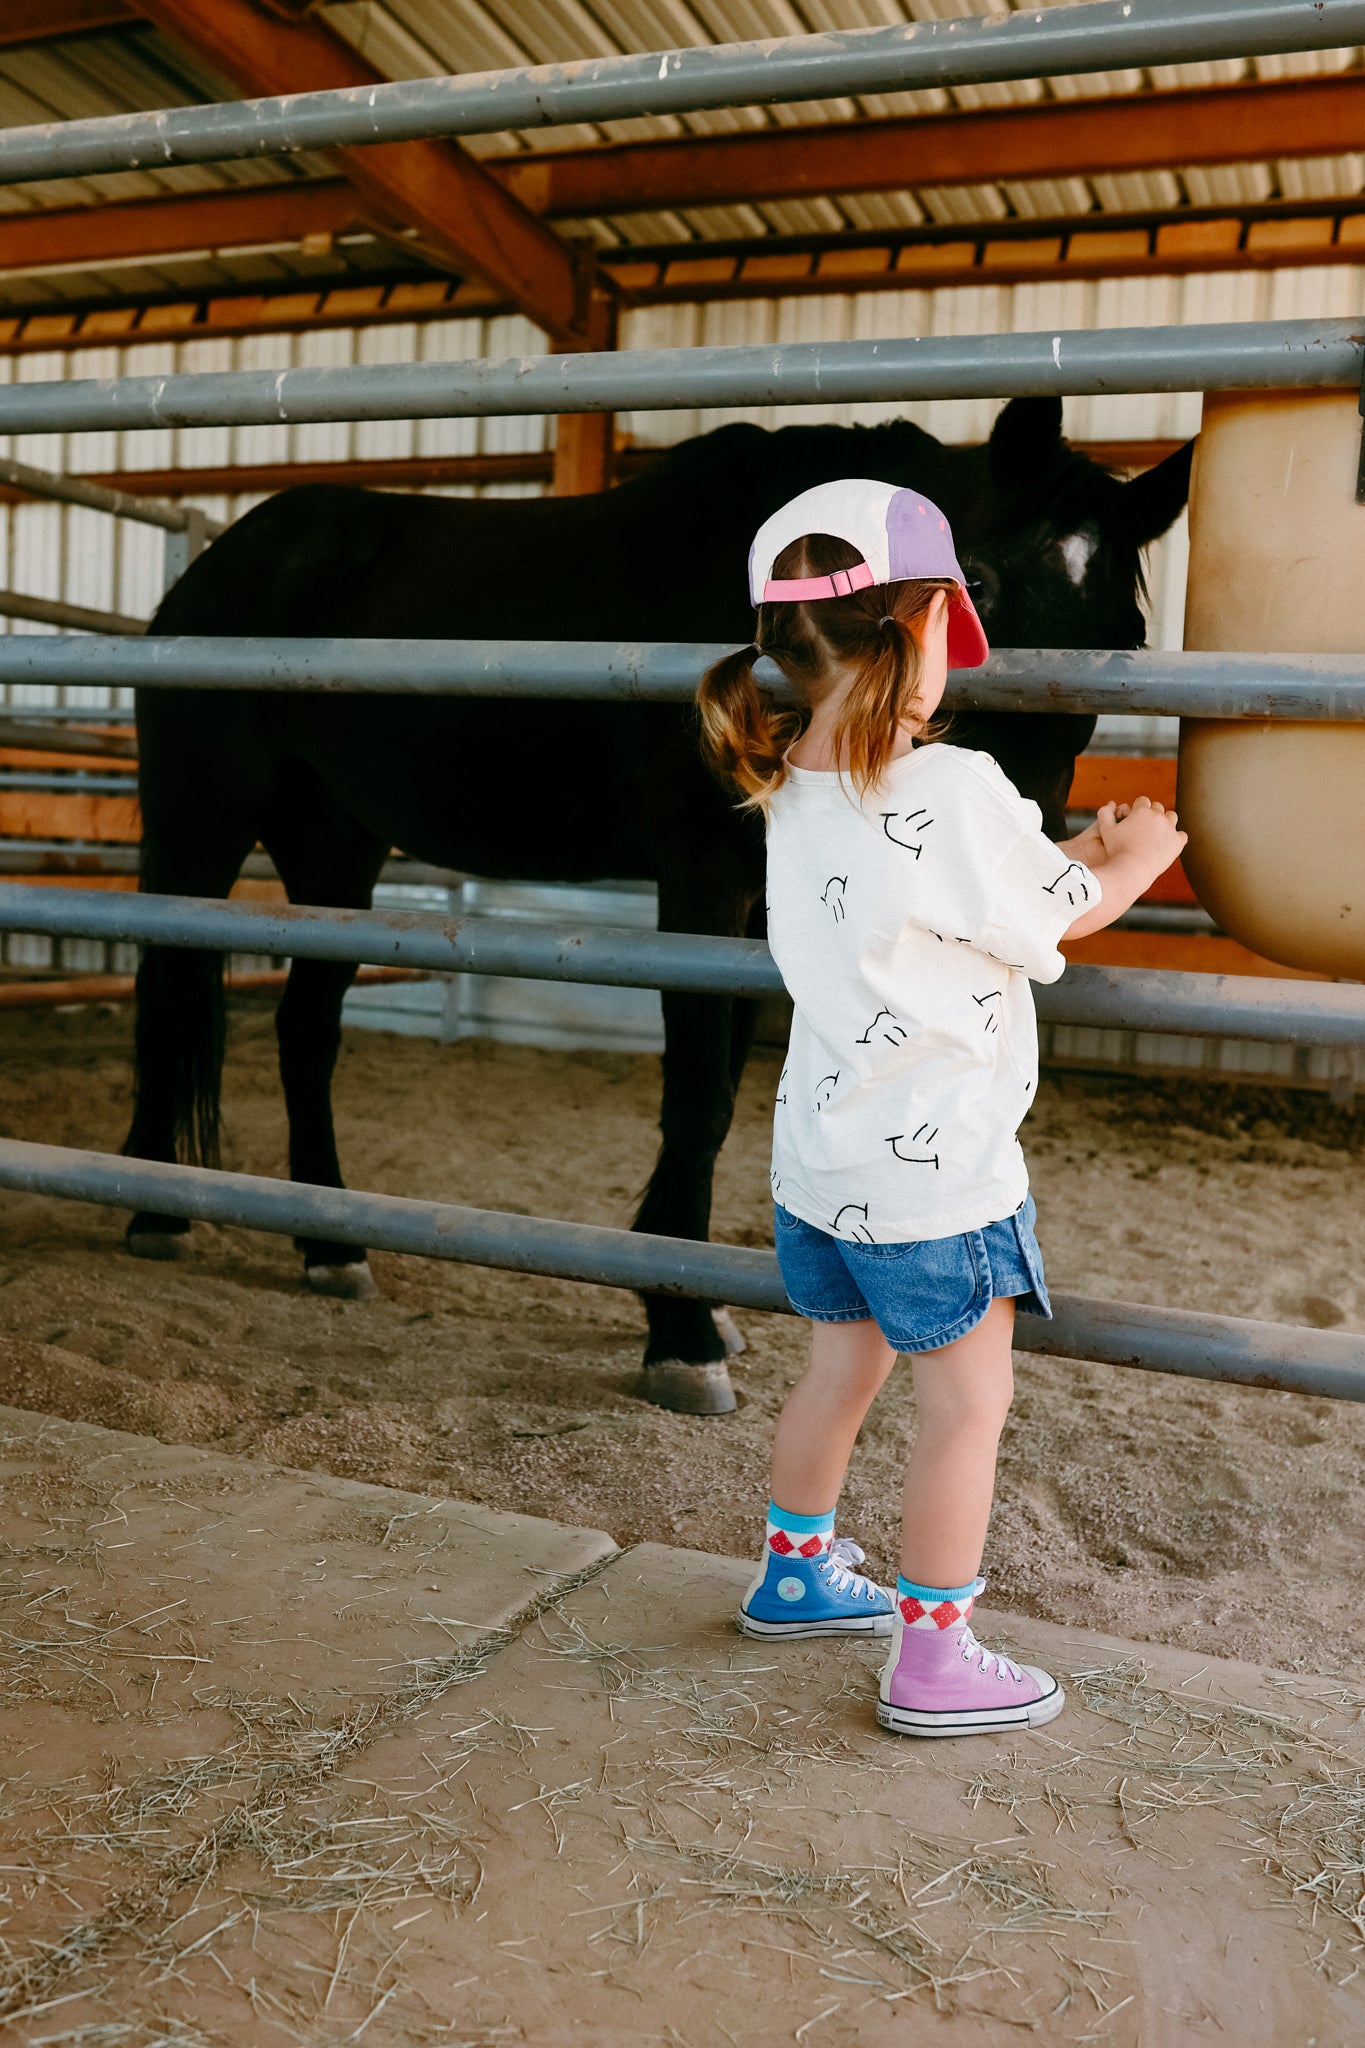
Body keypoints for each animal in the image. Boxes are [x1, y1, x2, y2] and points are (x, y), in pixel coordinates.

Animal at [122, 399, 1186, 1417]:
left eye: (1125, 637)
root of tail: (212, 571)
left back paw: (330, 1245)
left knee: (306, 1030)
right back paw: (154, 1210)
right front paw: (679, 1335)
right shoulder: (703, 881)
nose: (1030, 850)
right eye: (982, 587)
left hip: (334, 847)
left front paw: (698, 1303)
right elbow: (699, 1096)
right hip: (197, 827)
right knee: (165, 995)